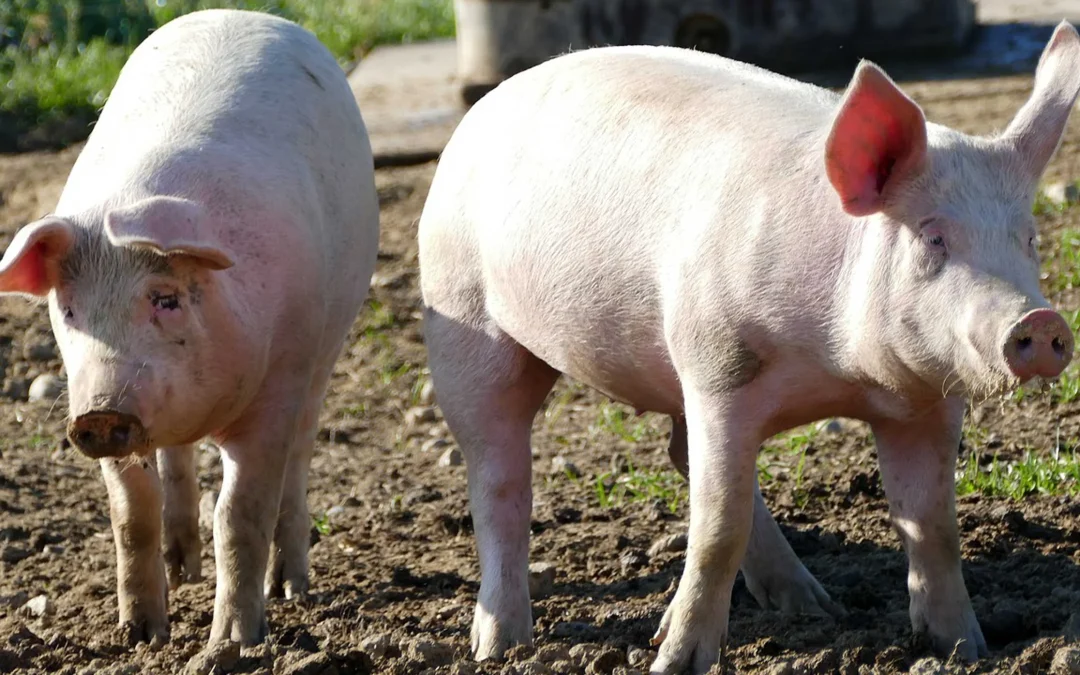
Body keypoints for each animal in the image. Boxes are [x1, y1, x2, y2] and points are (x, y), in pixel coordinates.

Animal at [0, 9, 378, 647]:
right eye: (70, 310)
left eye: (167, 299)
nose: (99, 413)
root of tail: (247, 13)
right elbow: (132, 513)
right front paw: (141, 636)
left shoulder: (277, 382)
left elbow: (239, 513)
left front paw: (234, 643)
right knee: (176, 466)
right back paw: (182, 572)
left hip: (327, 342)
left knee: (300, 455)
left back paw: (290, 588)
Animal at [418, 20, 1080, 675]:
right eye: (933, 238)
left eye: (1028, 239)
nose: (1041, 319)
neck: (845, 375)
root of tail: (488, 105)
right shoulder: (718, 368)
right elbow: (718, 527)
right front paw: (675, 663)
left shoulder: (927, 401)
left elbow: (934, 524)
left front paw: (965, 650)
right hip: (462, 318)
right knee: (499, 478)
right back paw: (501, 646)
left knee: (680, 453)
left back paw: (816, 607)